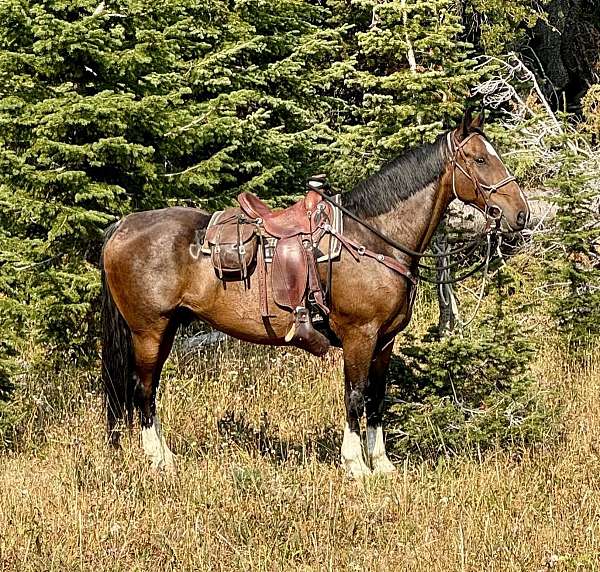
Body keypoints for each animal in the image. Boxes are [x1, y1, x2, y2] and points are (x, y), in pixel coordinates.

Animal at [102, 110, 528, 478]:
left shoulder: (385, 341)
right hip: (149, 331)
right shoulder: (360, 335)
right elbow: (355, 396)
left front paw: (382, 465)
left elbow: (377, 399)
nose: (520, 214)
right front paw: (356, 466)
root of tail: (122, 226)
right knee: (143, 388)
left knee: (148, 390)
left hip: (166, 329)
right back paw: (158, 458)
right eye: (479, 159)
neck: (372, 239)